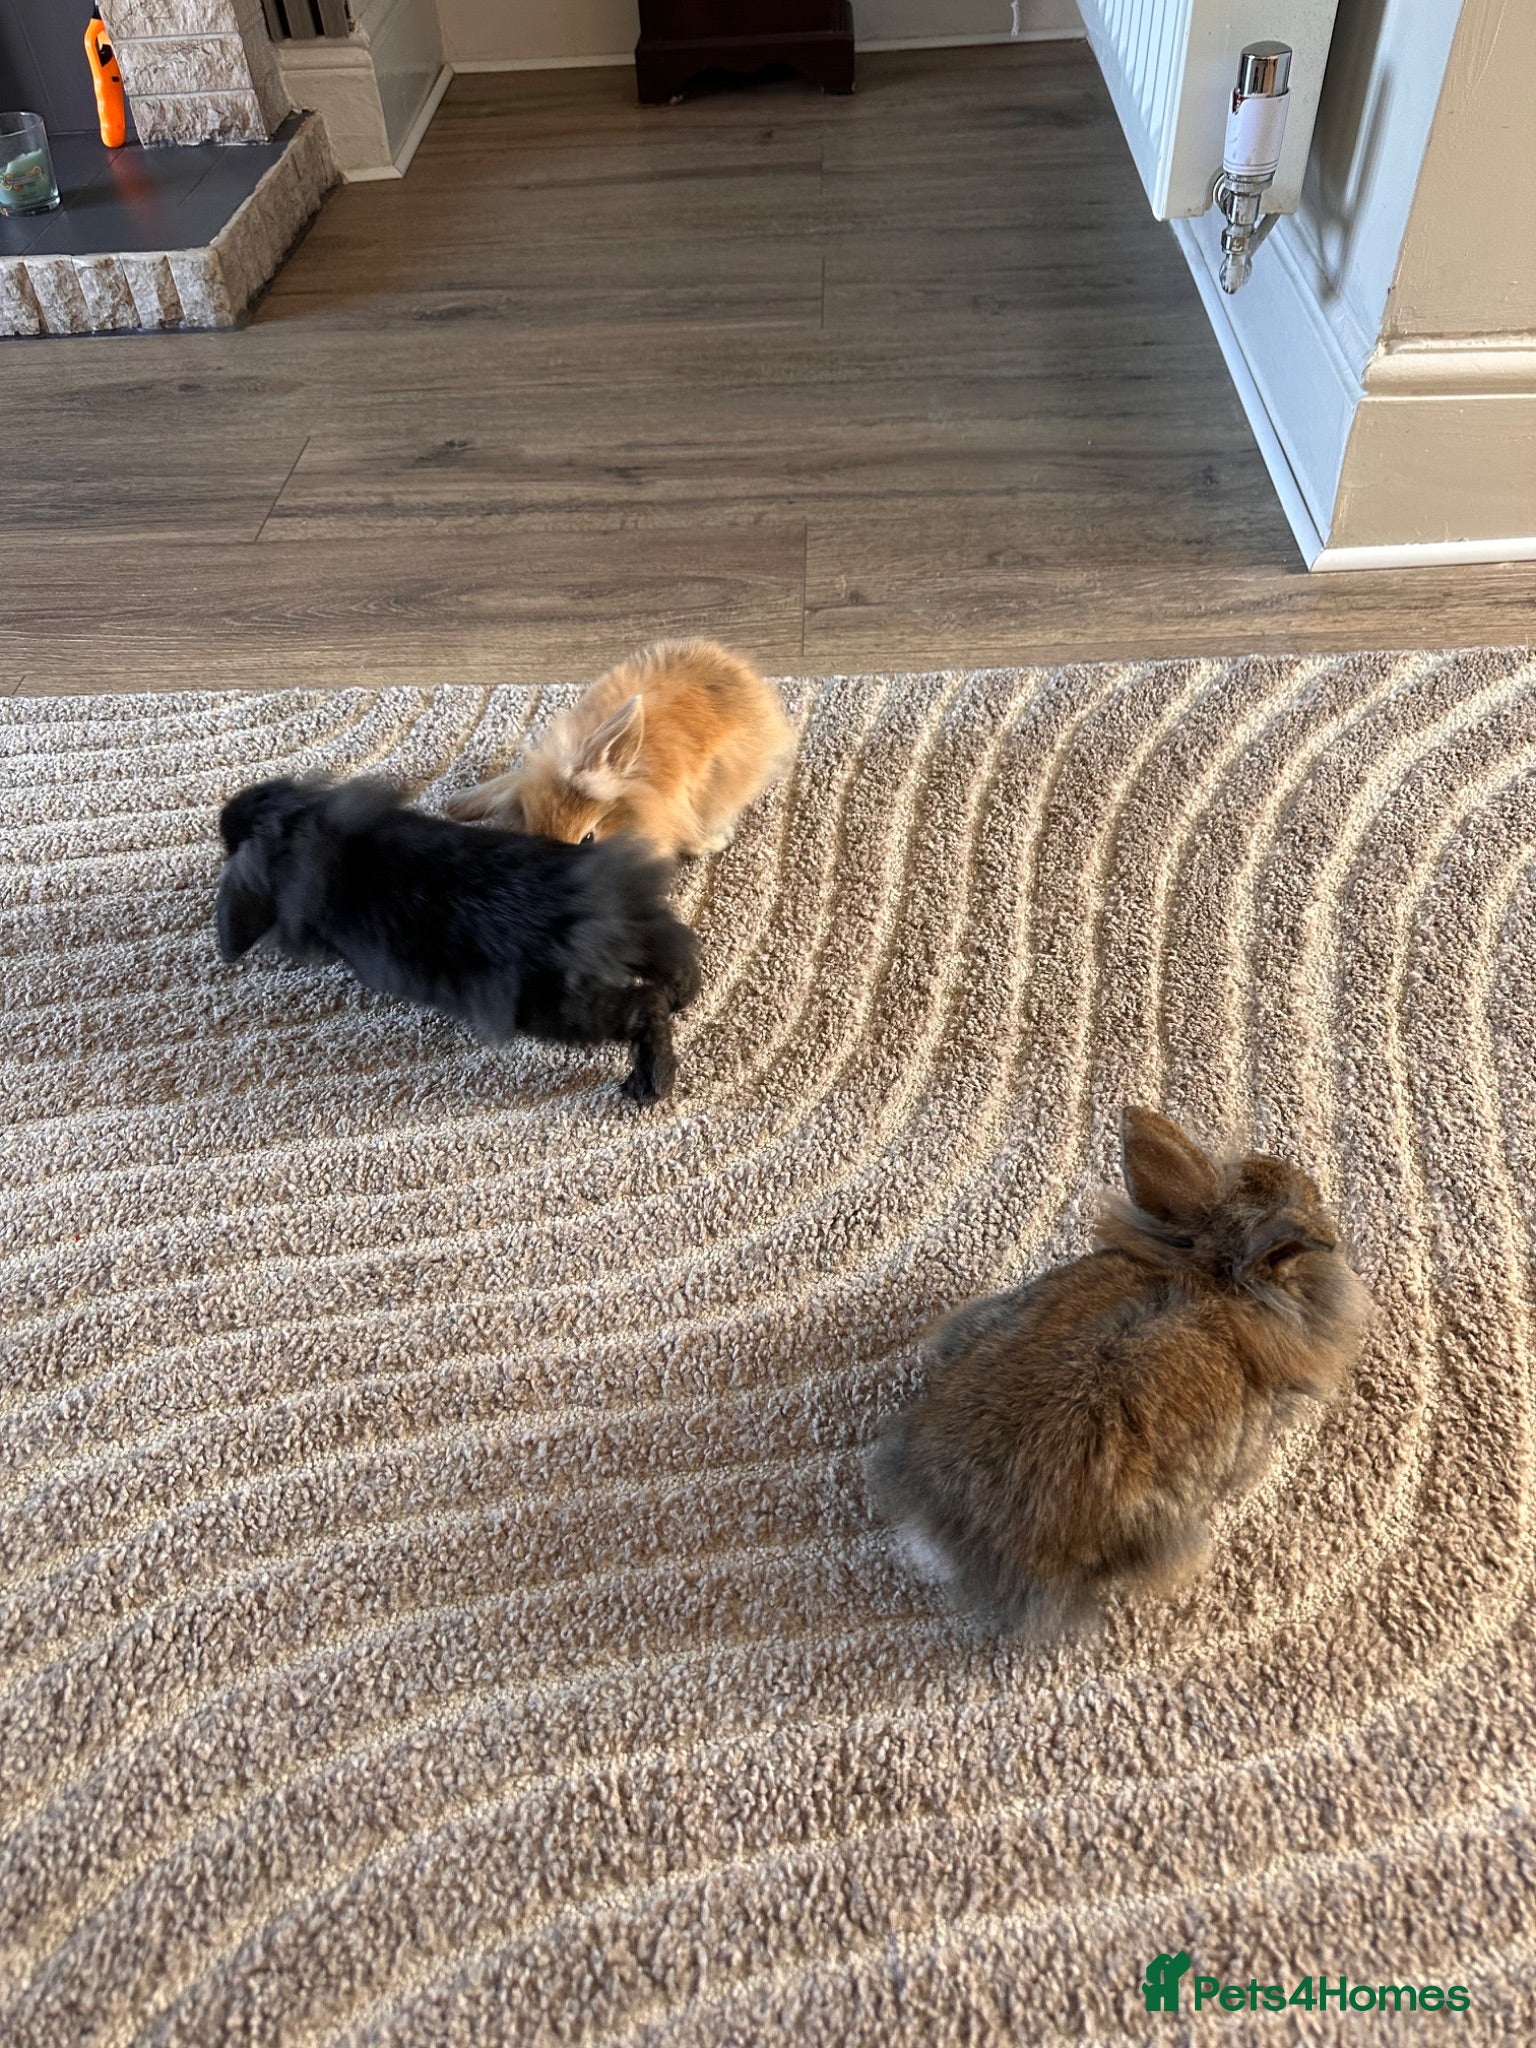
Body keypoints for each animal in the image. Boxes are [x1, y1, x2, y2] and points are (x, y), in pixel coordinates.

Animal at [215, 776, 701, 1102]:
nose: (225, 811)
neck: (312, 829)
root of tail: (588, 903)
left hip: (558, 1008)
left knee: (644, 1008)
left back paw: (650, 1083)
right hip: (639, 930)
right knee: (674, 948)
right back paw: (682, 996)